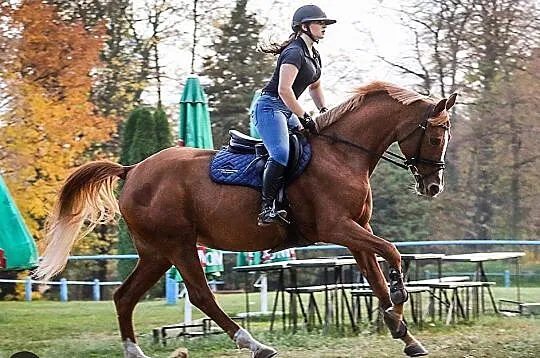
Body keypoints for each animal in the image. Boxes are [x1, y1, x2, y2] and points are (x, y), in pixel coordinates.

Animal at [33, 81, 456, 358]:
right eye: (437, 137)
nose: (434, 186)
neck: (342, 154)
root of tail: (133, 169)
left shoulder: (357, 231)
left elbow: (376, 276)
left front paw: (403, 332)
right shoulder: (337, 228)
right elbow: (393, 254)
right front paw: (400, 301)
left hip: (155, 253)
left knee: (124, 296)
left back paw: (135, 353)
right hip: (178, 245)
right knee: (201, 296)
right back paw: (255, 344)